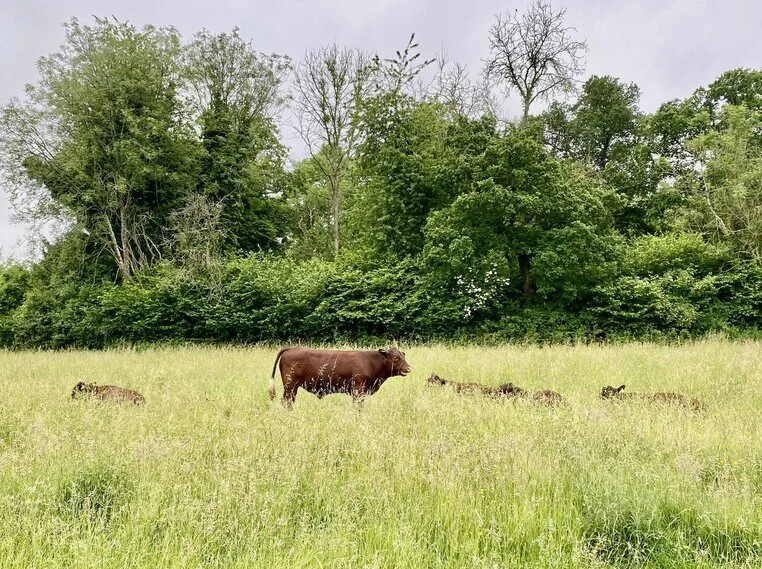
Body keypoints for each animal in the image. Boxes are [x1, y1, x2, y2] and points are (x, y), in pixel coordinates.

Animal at [269, 346, 412, 407]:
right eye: (395, 358)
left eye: (403, 355)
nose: (409, 368)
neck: (370, 362)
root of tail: (292, 348)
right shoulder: (358, 389)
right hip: (290, 385)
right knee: (286, 401)